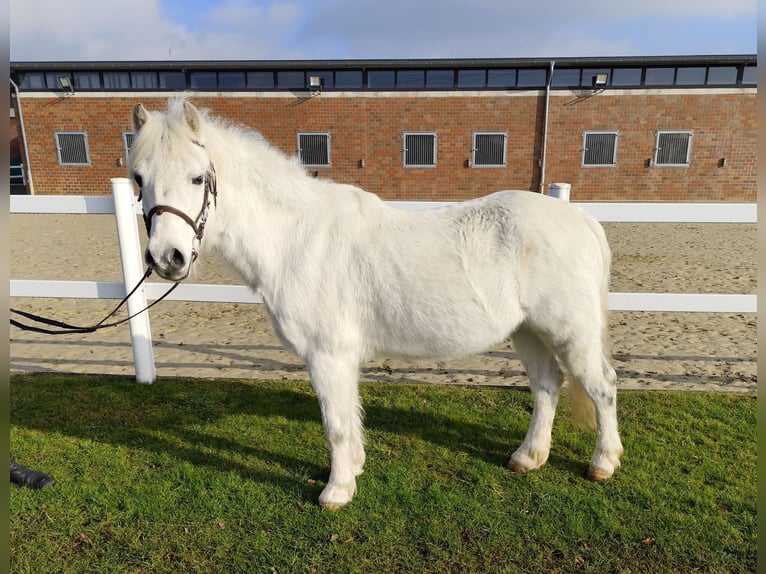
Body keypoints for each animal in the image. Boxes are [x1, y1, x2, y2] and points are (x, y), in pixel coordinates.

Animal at [130, 100, 624, 512]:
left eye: (198, 177)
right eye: (138, 179)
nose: (166, 258)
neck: (296, 237)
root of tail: (581, 219)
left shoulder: (327, 355)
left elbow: (335, 424)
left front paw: (336, 492)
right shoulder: (339, 358)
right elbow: (348, 418)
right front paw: (353, 470)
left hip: (570, 332)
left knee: (601, 387)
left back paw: (603, 463)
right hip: (528, 331)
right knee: (546, 386)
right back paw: (528, 457)